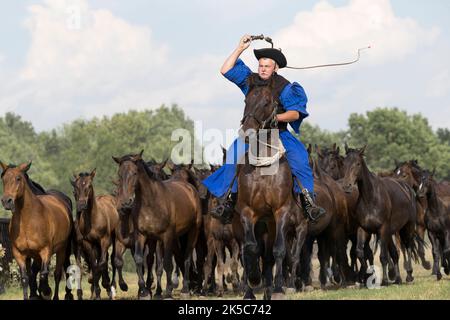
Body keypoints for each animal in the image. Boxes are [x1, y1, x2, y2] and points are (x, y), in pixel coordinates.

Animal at [0, 162, 74, 300]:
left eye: (18, 178)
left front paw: (46, 292)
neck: (28, 221)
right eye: (3, 179)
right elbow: (26, 278)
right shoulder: (20, 253)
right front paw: (33, 294)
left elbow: (43, 274)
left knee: (58, 272)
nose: (7, 201)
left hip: (62, 249)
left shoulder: (45, 250)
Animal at [70, 170, 119, 300]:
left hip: (114, 239)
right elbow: (93, 265)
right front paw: (96, 292)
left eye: (89, 186)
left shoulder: (104, 240)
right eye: (75, 189)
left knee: (112, 259)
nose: (81, 205)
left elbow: (100, 264)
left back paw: (111, 288)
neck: (93, 219)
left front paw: (103, 287)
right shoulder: (87, 243)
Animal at [114, 151, 202, 298]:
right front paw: (144, 292)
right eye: (119, 174)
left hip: (193, 231)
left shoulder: (166, 236)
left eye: (134, 173)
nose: (126, 202)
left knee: (187, 257)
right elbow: (140, 260)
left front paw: (167, 292)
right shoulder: (141, 235)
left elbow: (166, 263)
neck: (151, 203)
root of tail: (189, 188)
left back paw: (185, 289)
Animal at [237, 78, 308, 300]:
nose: (248, 132)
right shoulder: (248, 212)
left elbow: (280, 251)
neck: (264, 170)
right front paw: (252, 282)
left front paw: (278, 289)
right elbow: (251, 248)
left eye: (267, 102)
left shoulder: (281, 212)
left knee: (280, 255)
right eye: (246, 100)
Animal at [342, 147, 420, 284]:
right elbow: (360, 252)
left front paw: (384, 281)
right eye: (344, 163)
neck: (370, 198)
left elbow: (383, 256)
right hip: (391, 232)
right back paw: (398, 278)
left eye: (358, 163)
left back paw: (409, 275)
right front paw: (366, 277)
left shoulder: (382, 229)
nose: (347, 186)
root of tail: (407, 189)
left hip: (407, 227)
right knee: (395, 253)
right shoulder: (363, 229)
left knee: (408, 246)